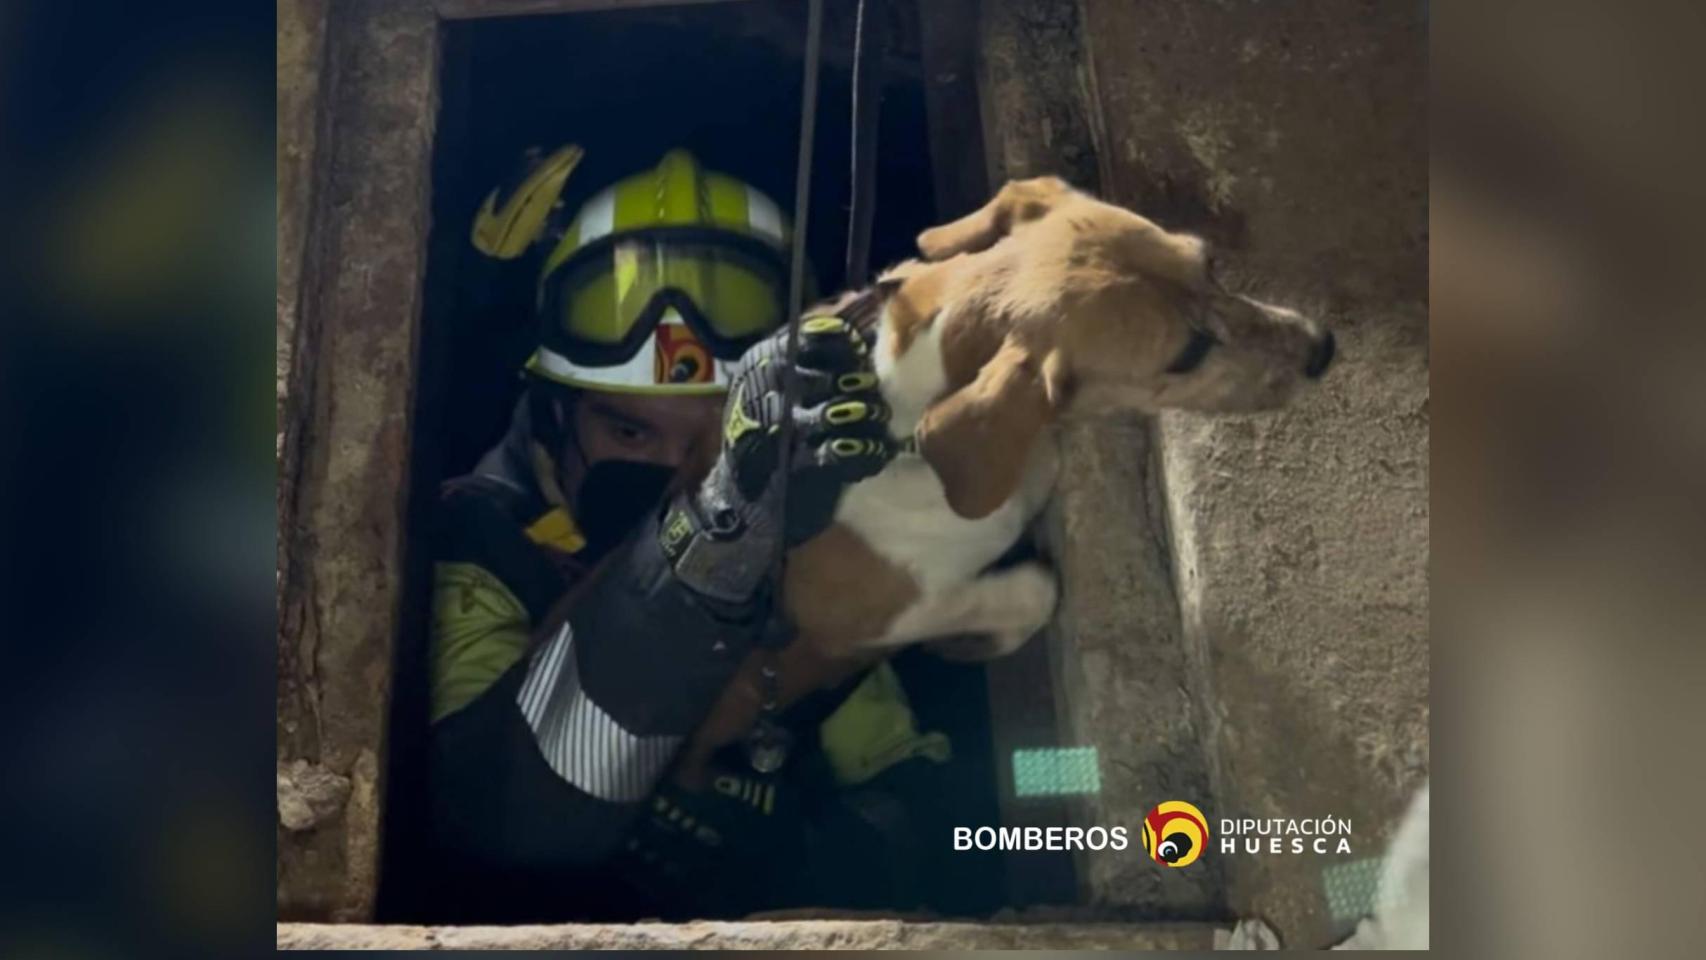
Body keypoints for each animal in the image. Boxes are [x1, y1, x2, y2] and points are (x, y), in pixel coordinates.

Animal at [675, 176, 1330, 784]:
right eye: (1188, 353)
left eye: (1209, 261)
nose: (1324, 349)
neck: (894, 410)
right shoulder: (862, 616)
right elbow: (1032, 588)